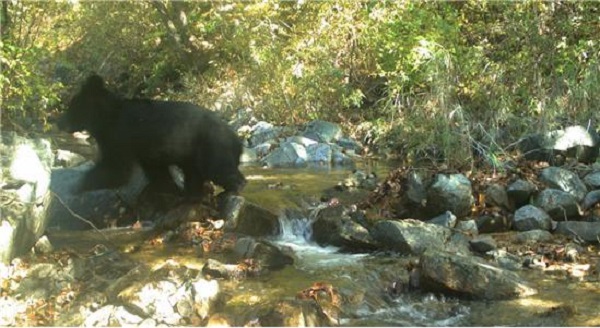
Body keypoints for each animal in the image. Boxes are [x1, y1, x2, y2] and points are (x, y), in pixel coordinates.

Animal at [58, 73, 246, 200]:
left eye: (71, 108)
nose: (59, 122)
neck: (105, 119)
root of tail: (237, 139)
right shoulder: (147, 152)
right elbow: (156, 171)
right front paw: (164, 188)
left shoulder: (120, 136)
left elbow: (116, 169)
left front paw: (76, 186)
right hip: (192, 155)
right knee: (195, 174)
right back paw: (192, 193)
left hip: (212, 146)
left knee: (218, 168)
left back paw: (235, 187)